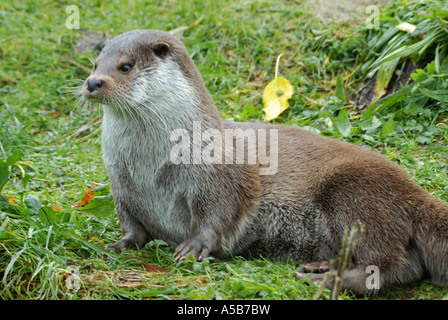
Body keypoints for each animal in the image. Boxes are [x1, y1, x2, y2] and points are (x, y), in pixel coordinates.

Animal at [81, 29, 448, 296]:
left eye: (125, 66)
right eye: (96, 63)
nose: (93, 83)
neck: (151, 168)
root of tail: (415, 193)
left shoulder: (217, 173)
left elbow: (217, 211)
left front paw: (194, 246)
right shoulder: (121, 184)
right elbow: (132, 225)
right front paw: (118, 244)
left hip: (353, 190)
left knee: (395, 264)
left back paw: (328, 280)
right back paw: (321, 267)